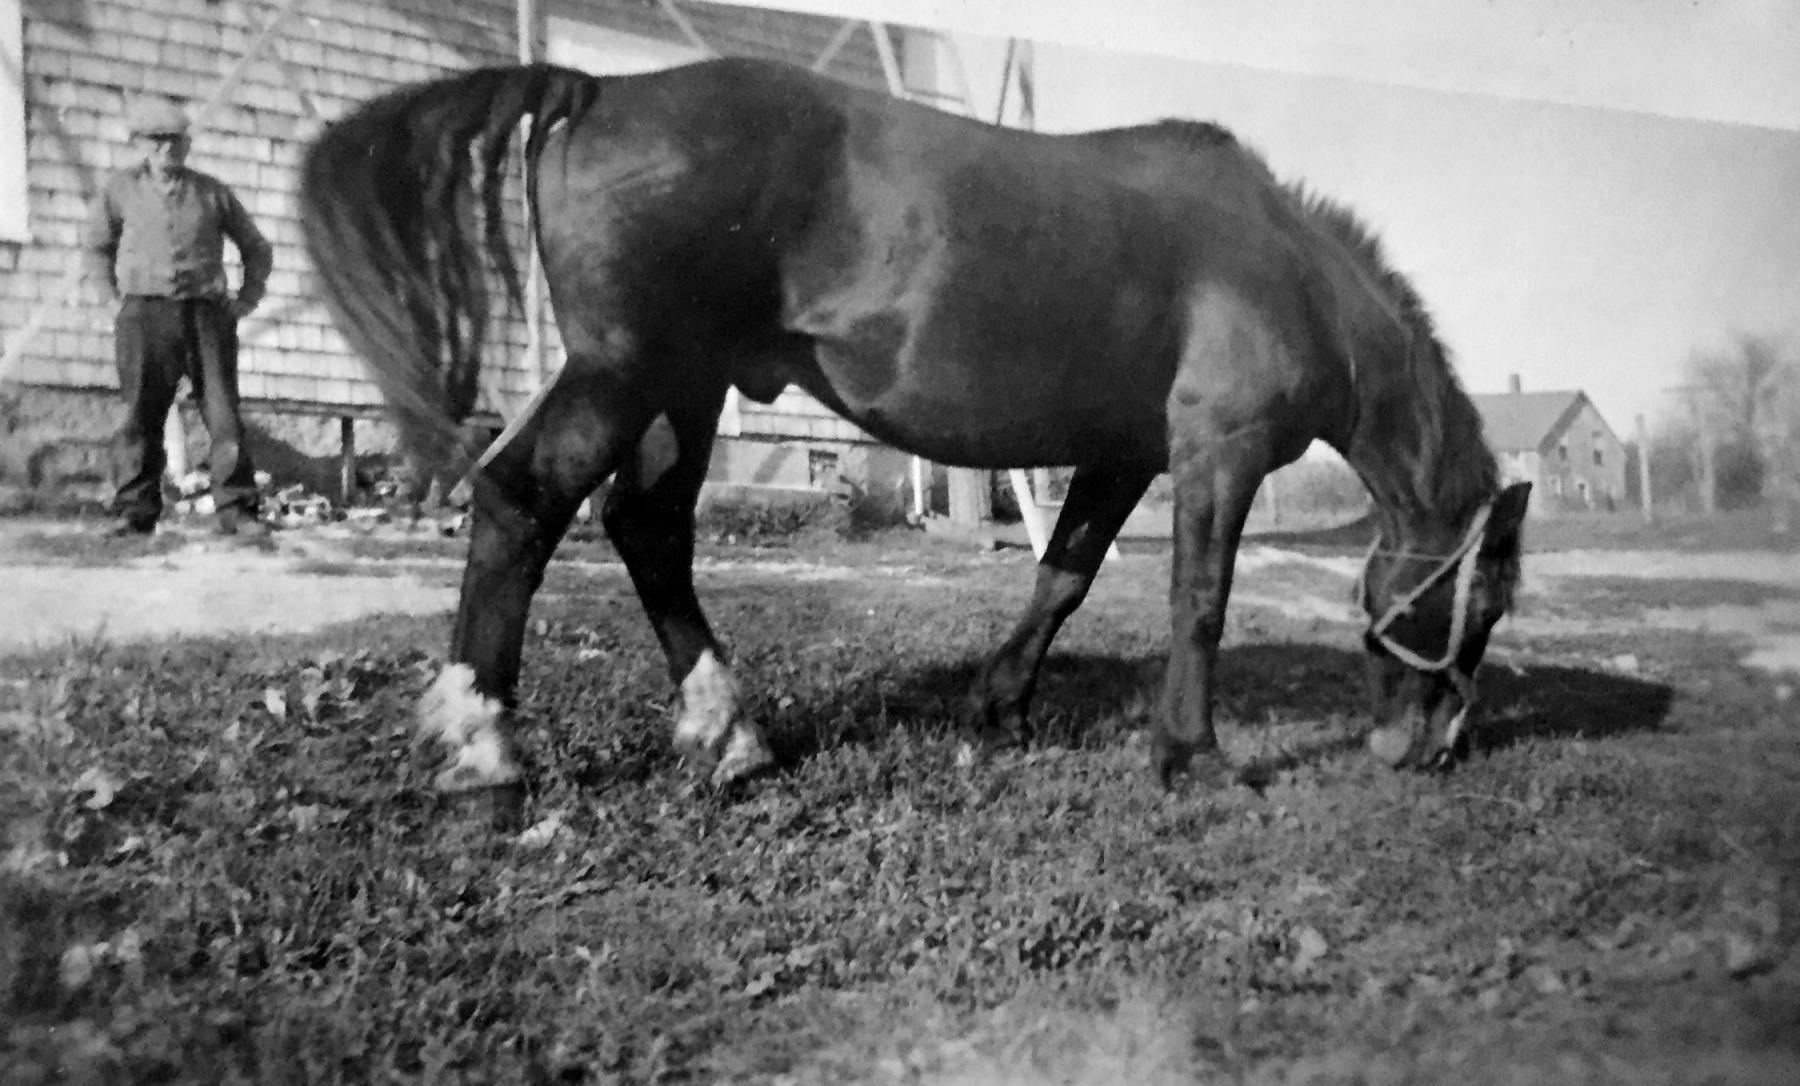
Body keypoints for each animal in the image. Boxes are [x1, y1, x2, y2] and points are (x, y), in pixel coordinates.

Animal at [298, 57, 1529, 804]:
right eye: (1482, 602)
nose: (1432, 747)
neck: (1283, 268)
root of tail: (597, 91)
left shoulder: (1124, 455)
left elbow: (1063, 576)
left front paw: (999, 706)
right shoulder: (1213, 455)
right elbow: (1200, 601)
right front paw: (1193, 755)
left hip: (679, 388)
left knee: (649, 528)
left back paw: (729, 735)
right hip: (622, 374)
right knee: (525, 501)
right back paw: (483, 747)